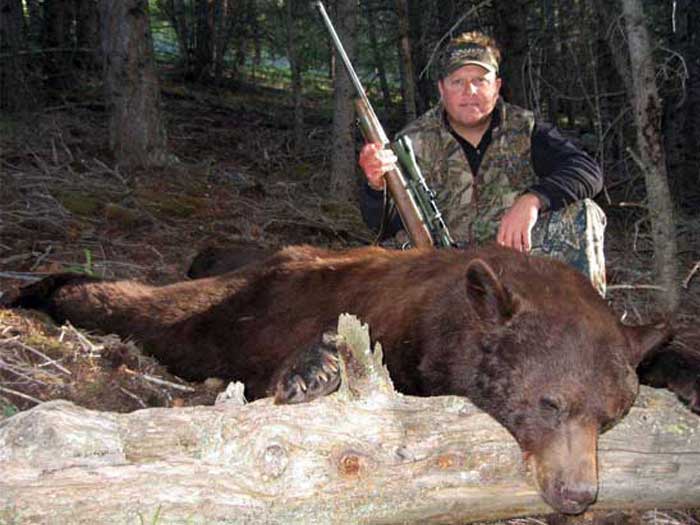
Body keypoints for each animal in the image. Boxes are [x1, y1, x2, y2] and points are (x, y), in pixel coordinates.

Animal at [4, 243, 694, 515]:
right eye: (550, 403)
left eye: (611, 416)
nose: (577, 494)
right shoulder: (396, 331)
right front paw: (313, 371)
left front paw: (685, 369)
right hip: (225, 314)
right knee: (153, 308)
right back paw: (43, 287)